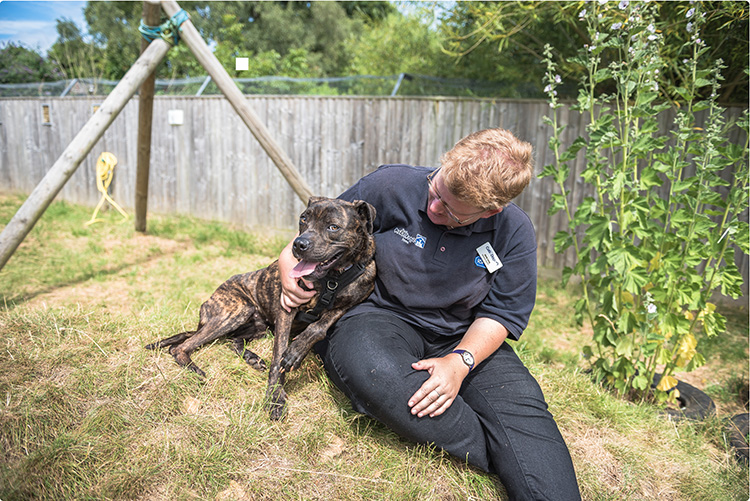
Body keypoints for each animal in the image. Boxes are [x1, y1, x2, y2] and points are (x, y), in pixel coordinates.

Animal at [148, 195, 378, 418]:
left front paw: (297, 349)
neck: (333, 279)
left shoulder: (349, 302)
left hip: (258, 326)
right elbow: (278, 356)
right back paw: (194, 367)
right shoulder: (287, 306)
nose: (298, 244)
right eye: (303, 219)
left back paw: (252, 358)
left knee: (233, 340)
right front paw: (275, 396)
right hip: (235, 311)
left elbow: (320, 325)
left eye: (333, 227)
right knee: (180, 347)